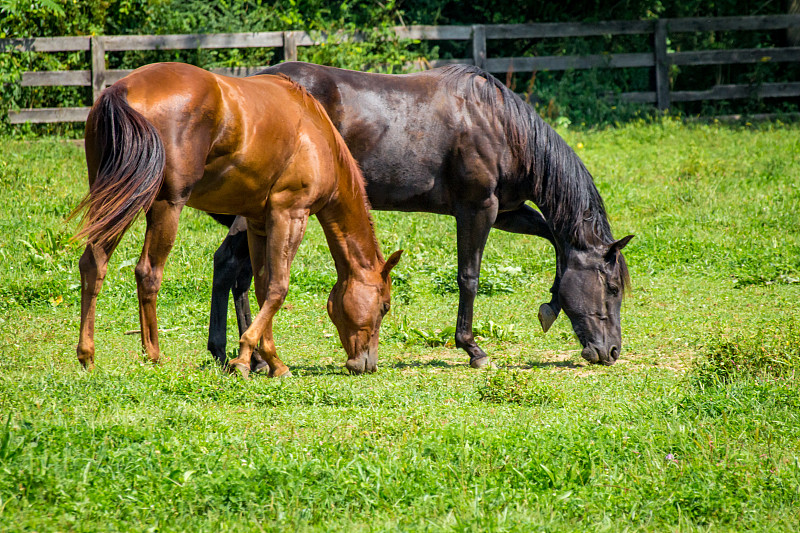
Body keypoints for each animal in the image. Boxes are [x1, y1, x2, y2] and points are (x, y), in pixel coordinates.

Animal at [72, 62, 404, 376]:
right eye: (385, 306)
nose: (367, 363)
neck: (316, 133)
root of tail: (122, 89)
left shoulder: (259, 223)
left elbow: (262, 286)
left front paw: (271, 360)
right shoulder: (291, 214)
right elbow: (278, 287)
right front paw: (246, 357)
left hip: (117, 198)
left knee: (93, 263)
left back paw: (87, 355)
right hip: (164, 205)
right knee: (148, 273)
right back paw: (152, 355)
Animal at [209, 62, 636, 368]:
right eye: (612, 288)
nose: (612, 351)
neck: (498, 126)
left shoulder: (507, 212)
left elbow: (555, 241)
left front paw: (550, 306)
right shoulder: (478, 209)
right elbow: (469, 277)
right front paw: (472, 349)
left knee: (239, 272)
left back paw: (241, 355)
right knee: (231, 264)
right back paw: (241, 355)